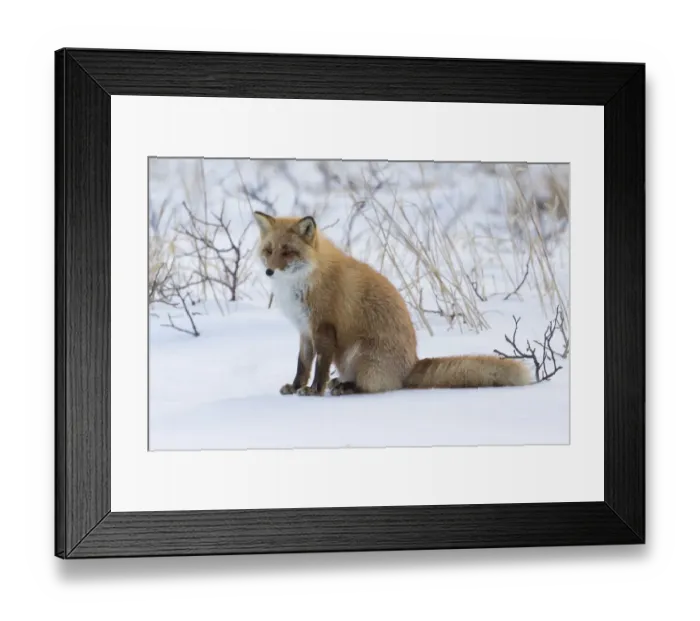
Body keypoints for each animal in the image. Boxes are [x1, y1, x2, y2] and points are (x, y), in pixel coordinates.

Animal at [253, 211, 531, 396]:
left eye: (288, 252)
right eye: (269, 250)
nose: (269, 272)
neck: (304, 282)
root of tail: (411, 364)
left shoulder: (324, 327)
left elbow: (320, 367)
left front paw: (314, 391)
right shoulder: (304, 329)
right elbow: (303, 364)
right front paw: (295, 386)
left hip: (357, 353)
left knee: (373, 387)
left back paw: (347, 387)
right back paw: (340, 384)